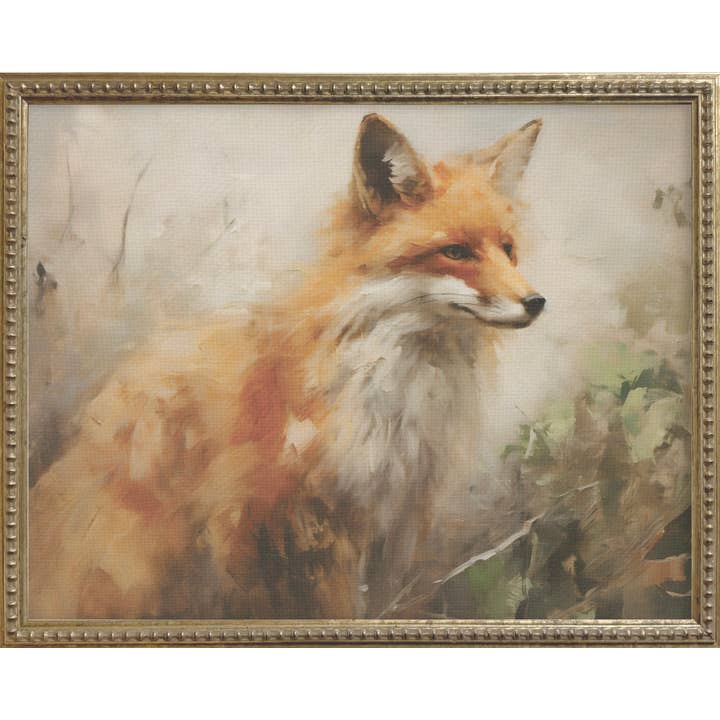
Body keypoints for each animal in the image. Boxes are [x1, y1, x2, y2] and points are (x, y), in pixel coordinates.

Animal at [30, 113, 545, 620]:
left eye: (507, 249)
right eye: (455, 252)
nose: (536, 302)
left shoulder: (399, 518)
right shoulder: (298, 522)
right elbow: (329, 607)